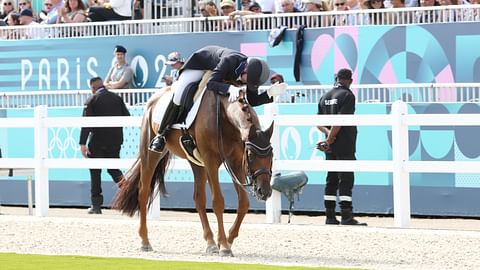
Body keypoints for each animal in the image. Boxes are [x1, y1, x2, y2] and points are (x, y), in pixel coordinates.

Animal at [113, 84, 276, 255]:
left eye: (272, 154)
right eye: (250, 154)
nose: (264, 191)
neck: (224, 116)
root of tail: (154, 98)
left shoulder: (235, 162)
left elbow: (243, 203)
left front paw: (227, 240)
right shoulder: (211, 161)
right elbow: (218, 202)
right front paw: (224, 246)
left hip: (197, 163)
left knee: (199, 198)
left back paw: (210, 242)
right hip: (150, 154)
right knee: (143, 192)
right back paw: (145, 241)